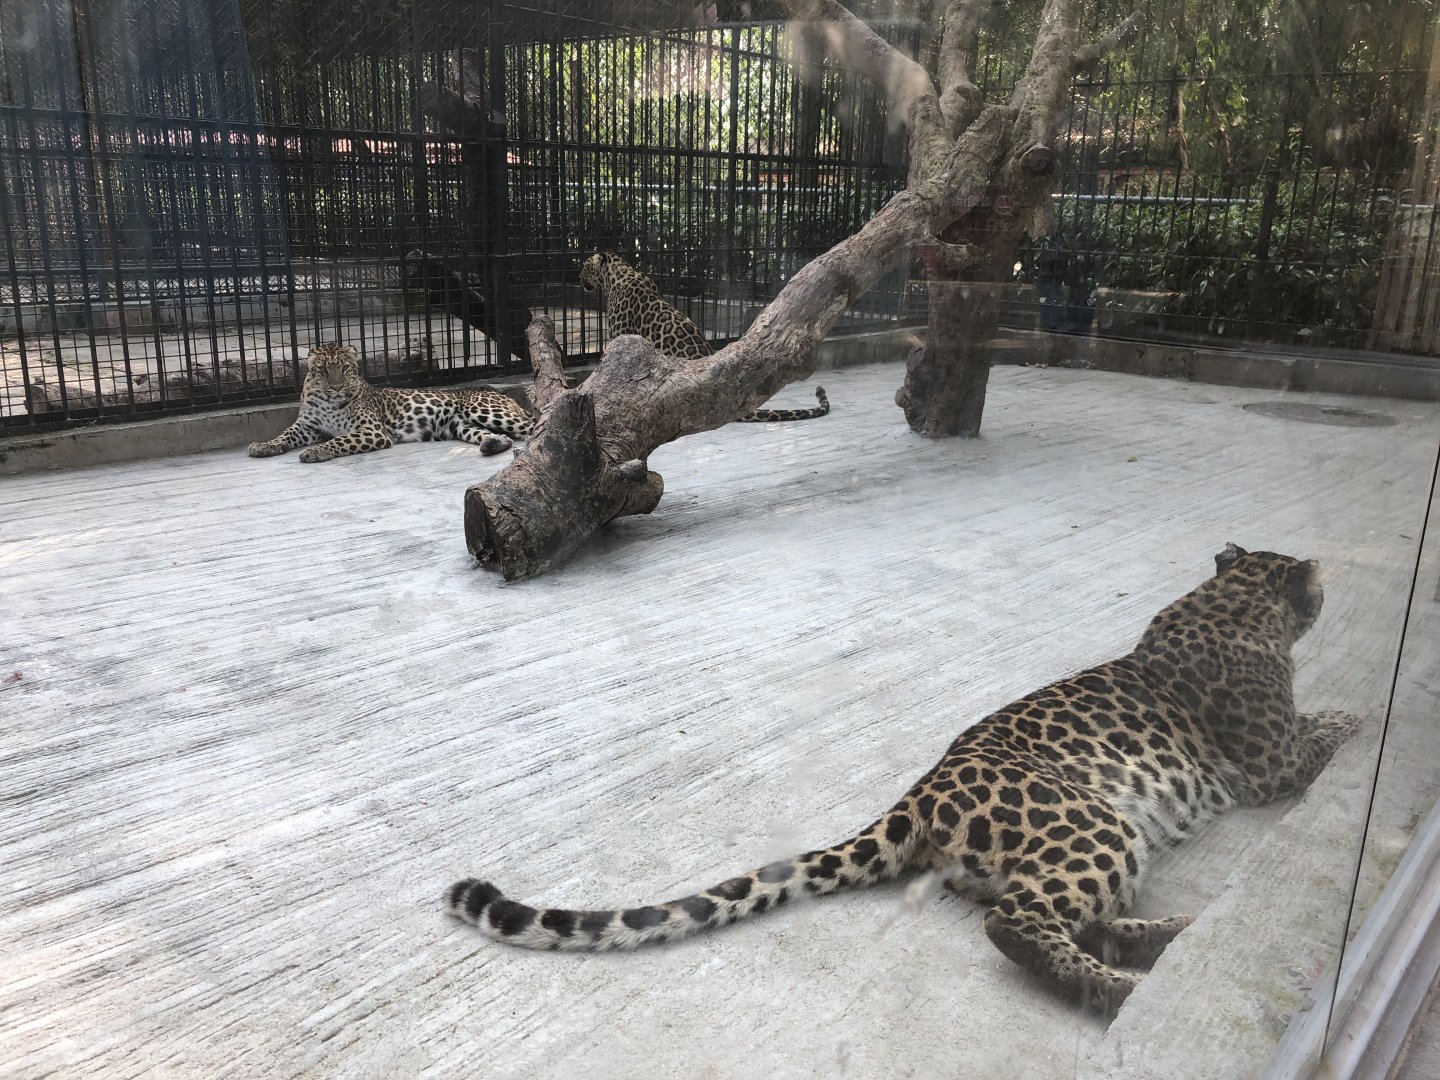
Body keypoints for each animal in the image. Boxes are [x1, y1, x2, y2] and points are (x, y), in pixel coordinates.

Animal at [247, 342, 532, 463]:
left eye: (345, 369)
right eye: (324, 371)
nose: (337, 386)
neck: (328, 400)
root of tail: (505, 396)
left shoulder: (372, 430)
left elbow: (339, 440)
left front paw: (316, 452)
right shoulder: (307, 426)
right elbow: (284, 435)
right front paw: (263, 446)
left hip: (484, 410)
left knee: (532, 426)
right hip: (460, 426)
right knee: (503, 437)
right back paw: (492, 444)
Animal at [444, 543, 1362, 1017]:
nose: (1324, 590)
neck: (1232, 597)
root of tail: (922, 792)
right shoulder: (1268, 761)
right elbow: (1323, 731)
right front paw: (1357, 723)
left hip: (1109, 835)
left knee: (1070, 916)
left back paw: (1168, 939)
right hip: (1090, 819)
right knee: (1018, 924)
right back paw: (1121, 991)